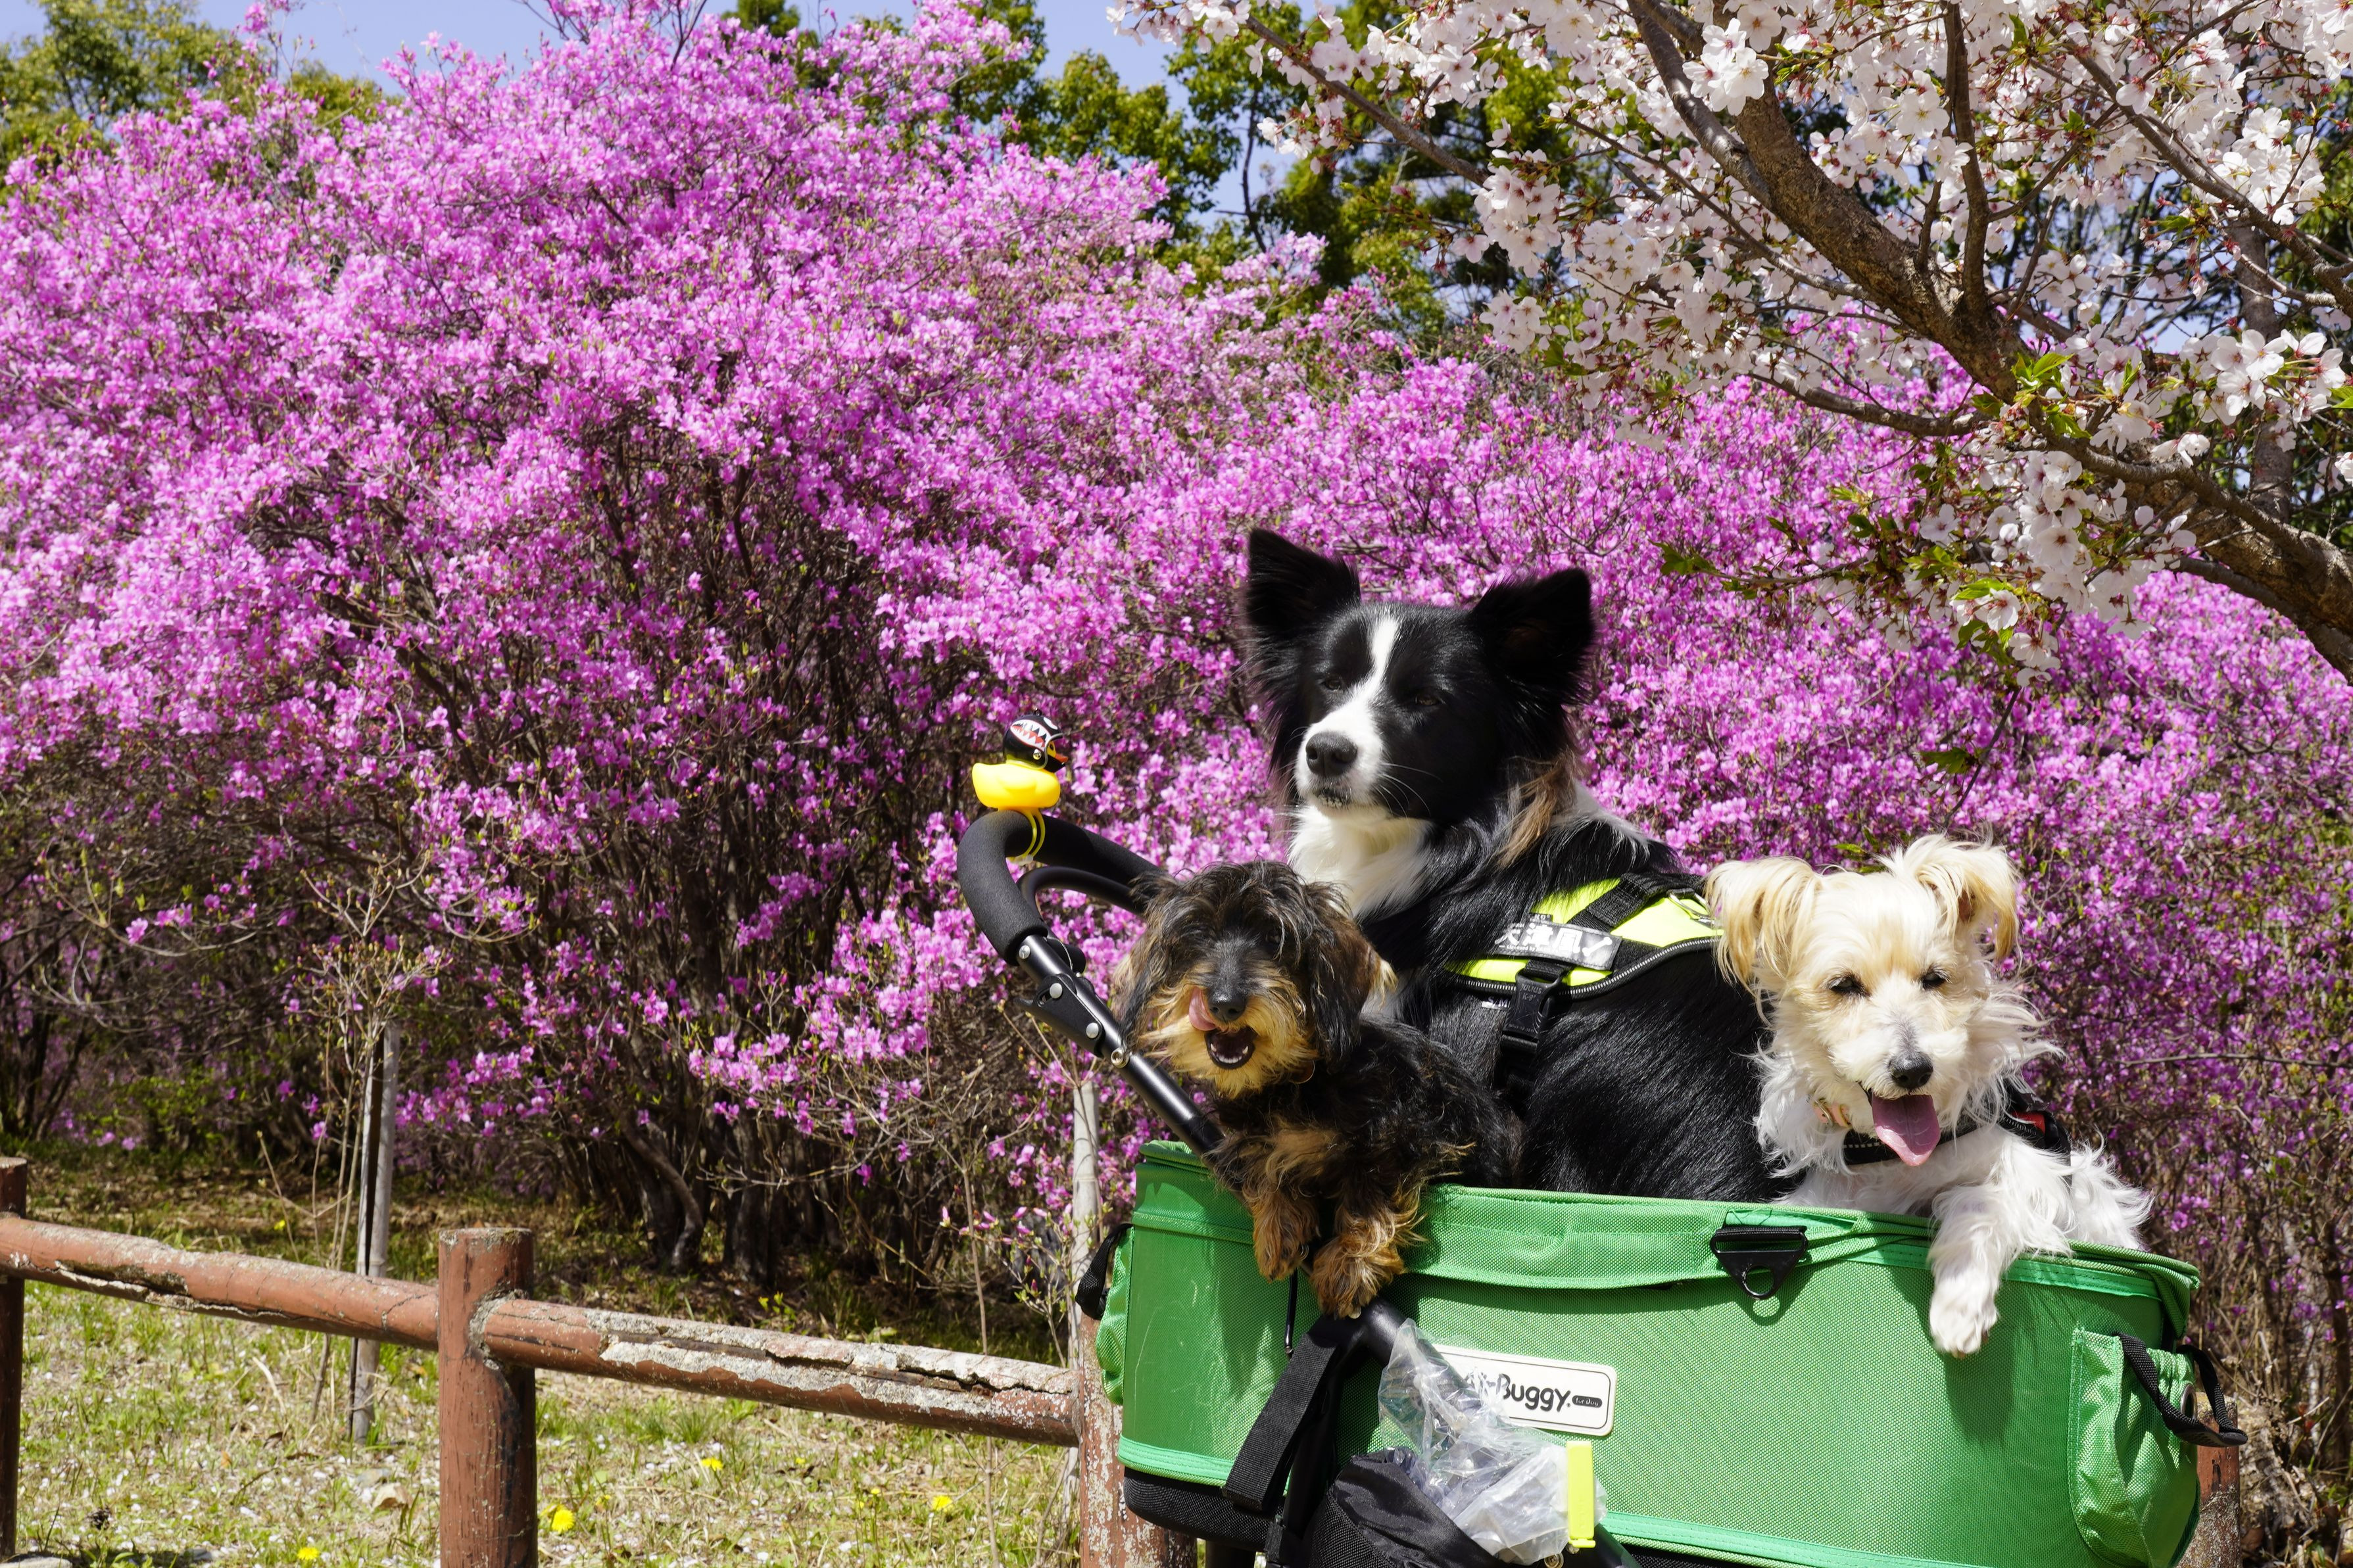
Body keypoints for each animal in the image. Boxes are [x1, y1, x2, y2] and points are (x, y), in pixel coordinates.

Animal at [1119, 860, 1519, 1317]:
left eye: (1275, 940)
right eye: (1197, 936)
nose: (1223, 1003)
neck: (1295, 1082)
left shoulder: (1406, 1131)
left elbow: (1369, 1189)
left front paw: (1350, 1265)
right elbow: (1268, 1167)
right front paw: (1277, 1227)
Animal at [1706, 836, 2150, 1355]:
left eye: (1936, 978)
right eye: (1843, 985)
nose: (1913, 1069)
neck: (1893, 1159)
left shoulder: (2042, 1179)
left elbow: (1979, 1201)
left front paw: (1960, 1303)